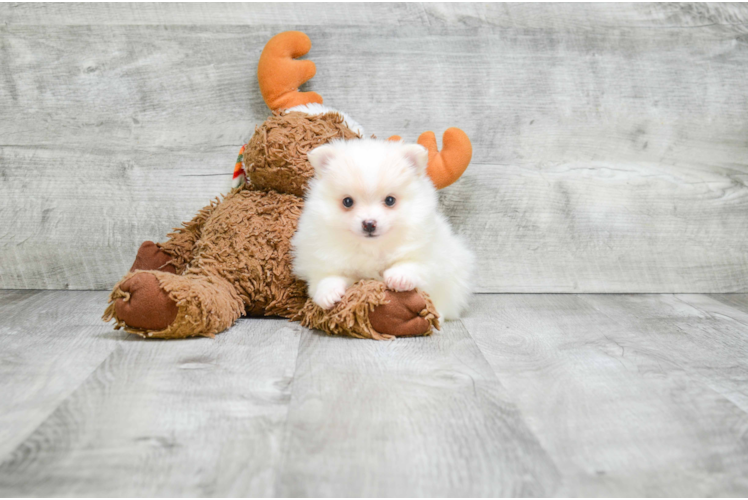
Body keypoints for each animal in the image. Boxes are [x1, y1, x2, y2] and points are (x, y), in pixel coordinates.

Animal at [292, 137, 474, 320]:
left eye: (390, 200)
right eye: (347, 202)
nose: (369, 223)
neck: (372, 248)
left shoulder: (429, 255)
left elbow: (413, 264)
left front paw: (399, 277)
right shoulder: (322, 258)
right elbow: (326, 277)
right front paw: (328, 293)